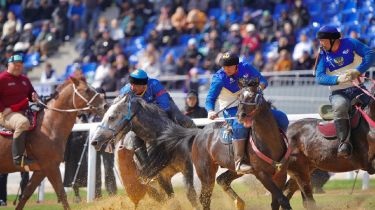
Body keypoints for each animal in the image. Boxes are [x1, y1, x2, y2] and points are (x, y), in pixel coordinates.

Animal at [0, 77, 107, 210]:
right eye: (87, 90)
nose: (106, 105)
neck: (48, 126)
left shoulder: (41, 170)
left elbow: (26, 194)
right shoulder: (51, 166)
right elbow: (61, 193)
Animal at [144, 80, 294, 210]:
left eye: (251, 95)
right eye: (239, 96)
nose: (240, 115)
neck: (269, 141)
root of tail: (199, 133)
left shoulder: (280, 174)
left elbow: (277, 202)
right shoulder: (262, 174)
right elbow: (282, 200)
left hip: (233, 169)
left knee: (222, 180)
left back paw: (239, 203)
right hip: (206, 173)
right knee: (204, 198)